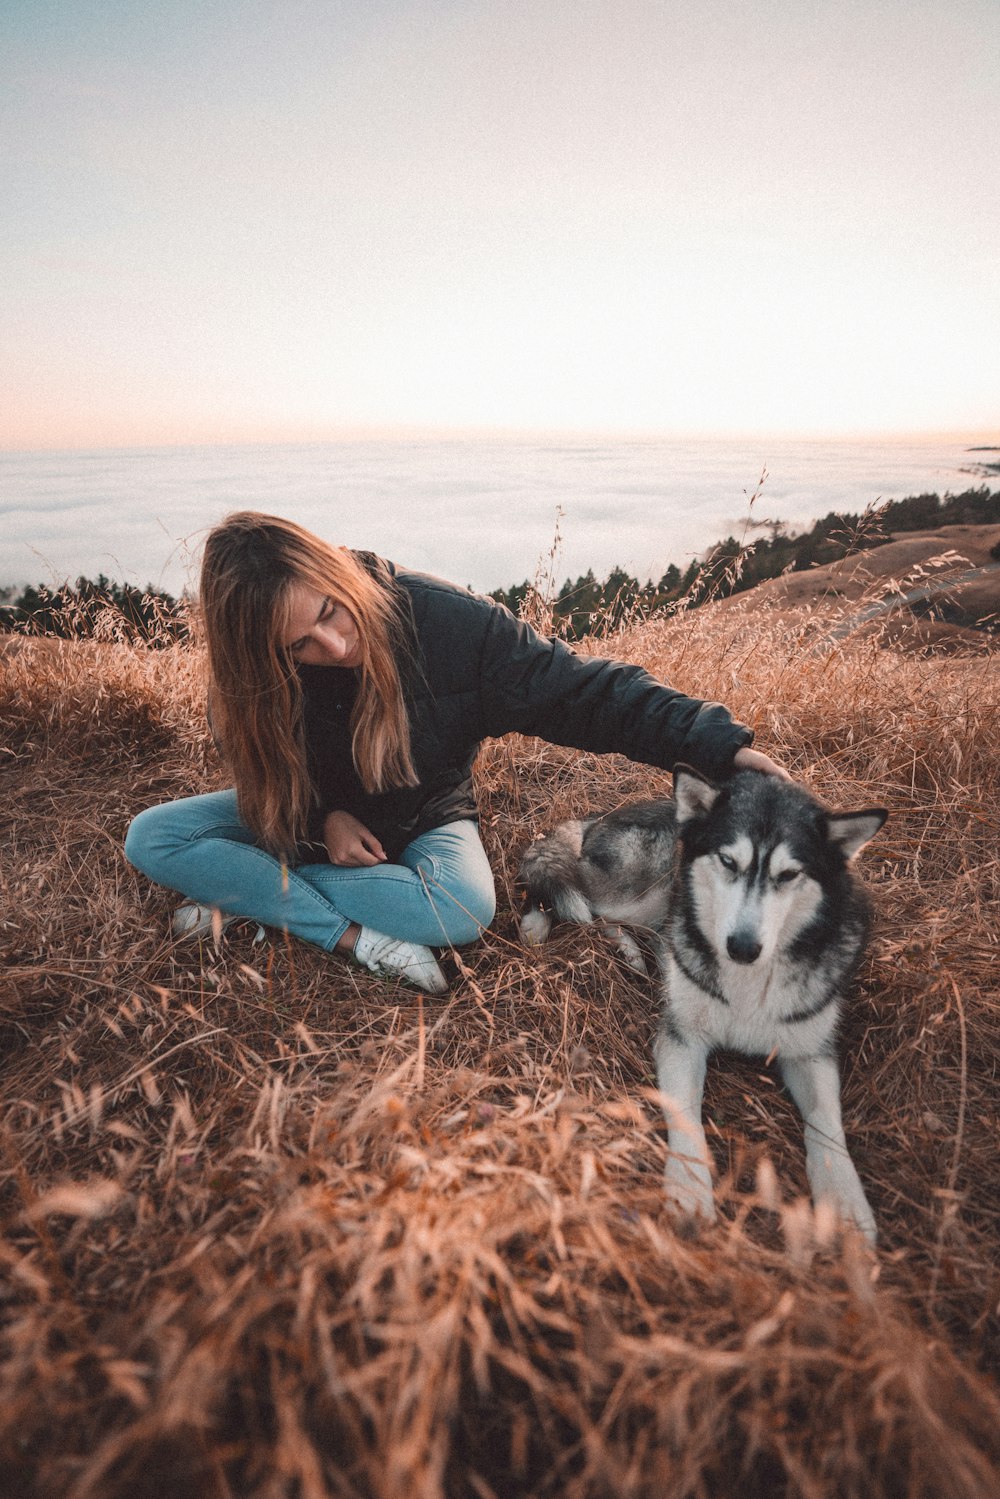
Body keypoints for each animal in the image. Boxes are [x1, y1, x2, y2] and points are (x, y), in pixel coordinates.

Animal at [521, 767, 887, 1247]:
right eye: (728, 862)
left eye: (789, 874)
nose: (743, 947)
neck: (749, 985)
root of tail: (600, 815)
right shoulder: (682, 1039)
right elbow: (686, 1115)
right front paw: (690, 1191)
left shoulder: (810, 1051)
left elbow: (827, 1124)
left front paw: (845, 1204)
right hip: (647, 887)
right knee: (572, 890)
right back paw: (549, 924)